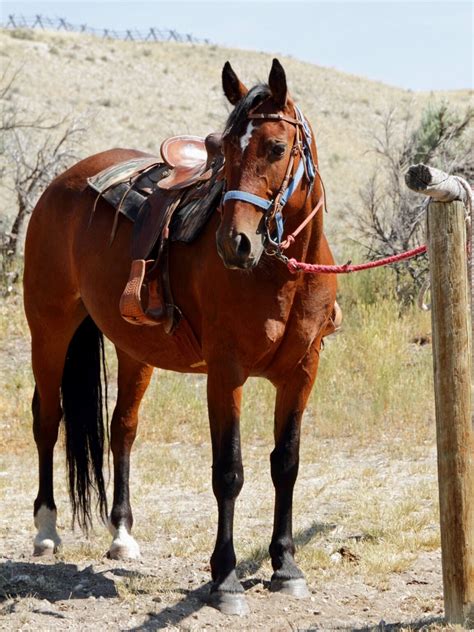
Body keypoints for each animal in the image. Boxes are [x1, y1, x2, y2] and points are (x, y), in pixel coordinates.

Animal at [23, 58, 336, 612]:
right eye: (225, 149)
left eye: (276, 148)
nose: (235, 243)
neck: (285, 274)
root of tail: (61, 184)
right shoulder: (226, 374)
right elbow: (229, 472)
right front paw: (225, 578)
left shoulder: (302, 373)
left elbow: (287, 463)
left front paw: (285, 565)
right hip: (49, 328)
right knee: (47, 420)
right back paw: (46, 530)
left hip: (133, 350)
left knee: (122, 428)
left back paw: (122, 536)